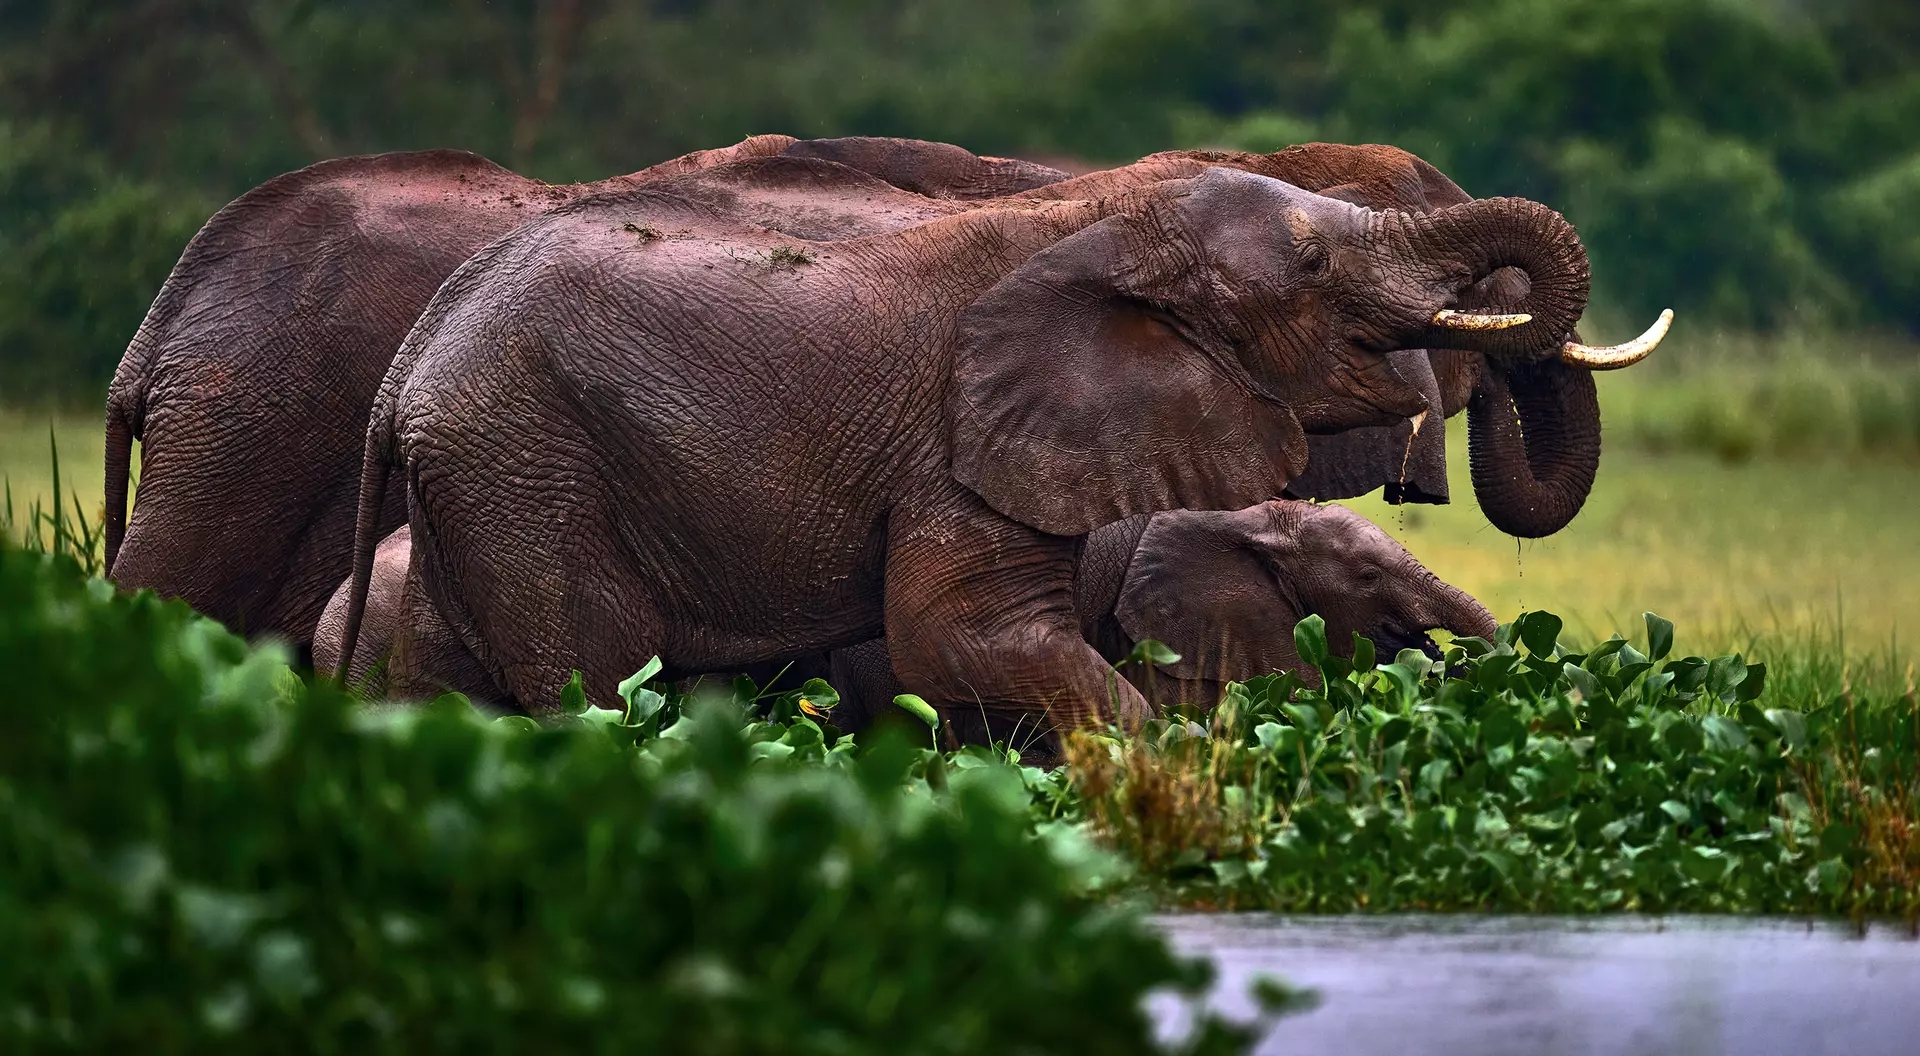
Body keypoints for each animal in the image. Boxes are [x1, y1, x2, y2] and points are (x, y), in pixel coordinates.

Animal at [333, 165, 1598, 738]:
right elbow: (964, 642)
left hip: (477, 491)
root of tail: (407, 365)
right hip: (527, 473)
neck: (1101, 222)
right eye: (1314, 265)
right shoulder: (959, 442)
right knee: (594, 693)